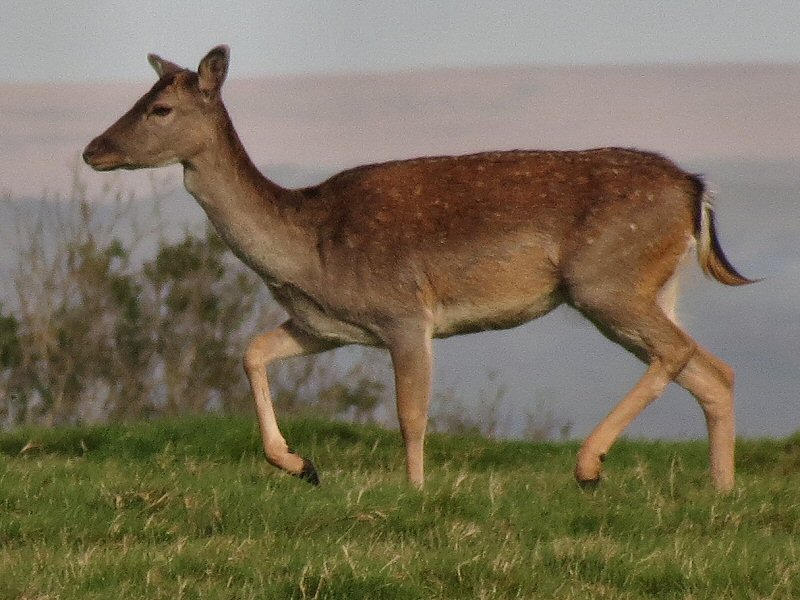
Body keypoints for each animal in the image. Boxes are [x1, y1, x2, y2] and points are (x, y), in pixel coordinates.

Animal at [84, 44, 752, 490]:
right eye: (139, 98)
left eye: (160, 108)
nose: (93, 149)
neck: (310, 249)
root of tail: (696, 190)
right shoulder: (326, 327)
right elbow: (252, 351)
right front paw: (301, 465)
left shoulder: (404, 312)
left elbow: (411, 414)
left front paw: (415, 492)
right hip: (648, 287)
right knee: (712, 369)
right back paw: (720, 493)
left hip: (607, 280)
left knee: (680, 354)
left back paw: (590, 466)